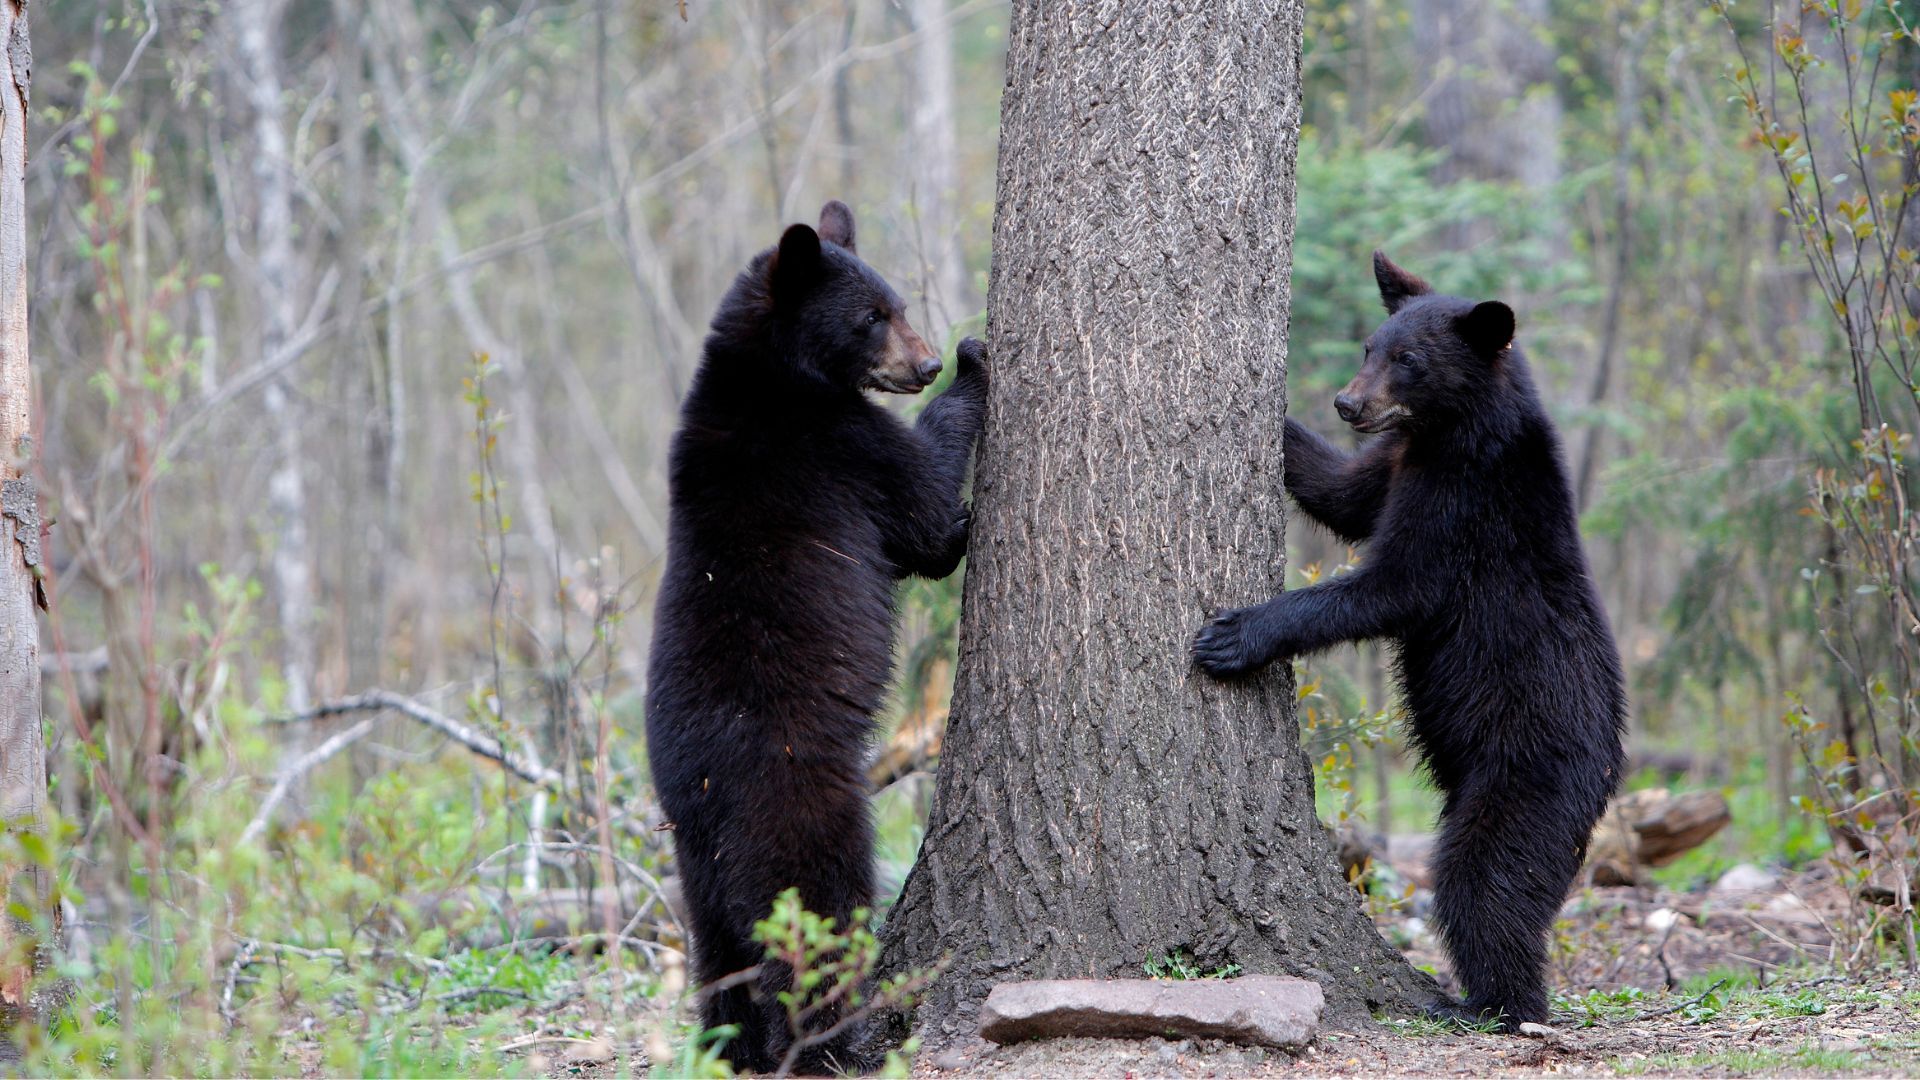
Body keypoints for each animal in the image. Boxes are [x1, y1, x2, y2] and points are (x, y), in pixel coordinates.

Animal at [644, 200, 989, 1073]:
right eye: (872, 317)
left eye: (898, 302)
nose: (926, 362)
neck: (770, 374)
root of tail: (706, 793)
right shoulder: (840, 446)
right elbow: (923, 508)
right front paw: (976, 362)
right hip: (800, 804)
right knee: (815, 919)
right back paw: (835, 1042)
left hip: (692, 861)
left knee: (720, 953)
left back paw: (732, 1047)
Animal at [1192, 252, 1626, 1030]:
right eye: (1371, 346)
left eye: (1410, 360)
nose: (1347, 403)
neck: (1452, 434)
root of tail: (1610, 769)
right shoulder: (1397, 462)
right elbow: (1340, 492)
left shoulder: (1464, 505)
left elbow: (1391, 587)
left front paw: (1234, 635)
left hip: (1526, 778)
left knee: (1487, 883)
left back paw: (1484, 1003)